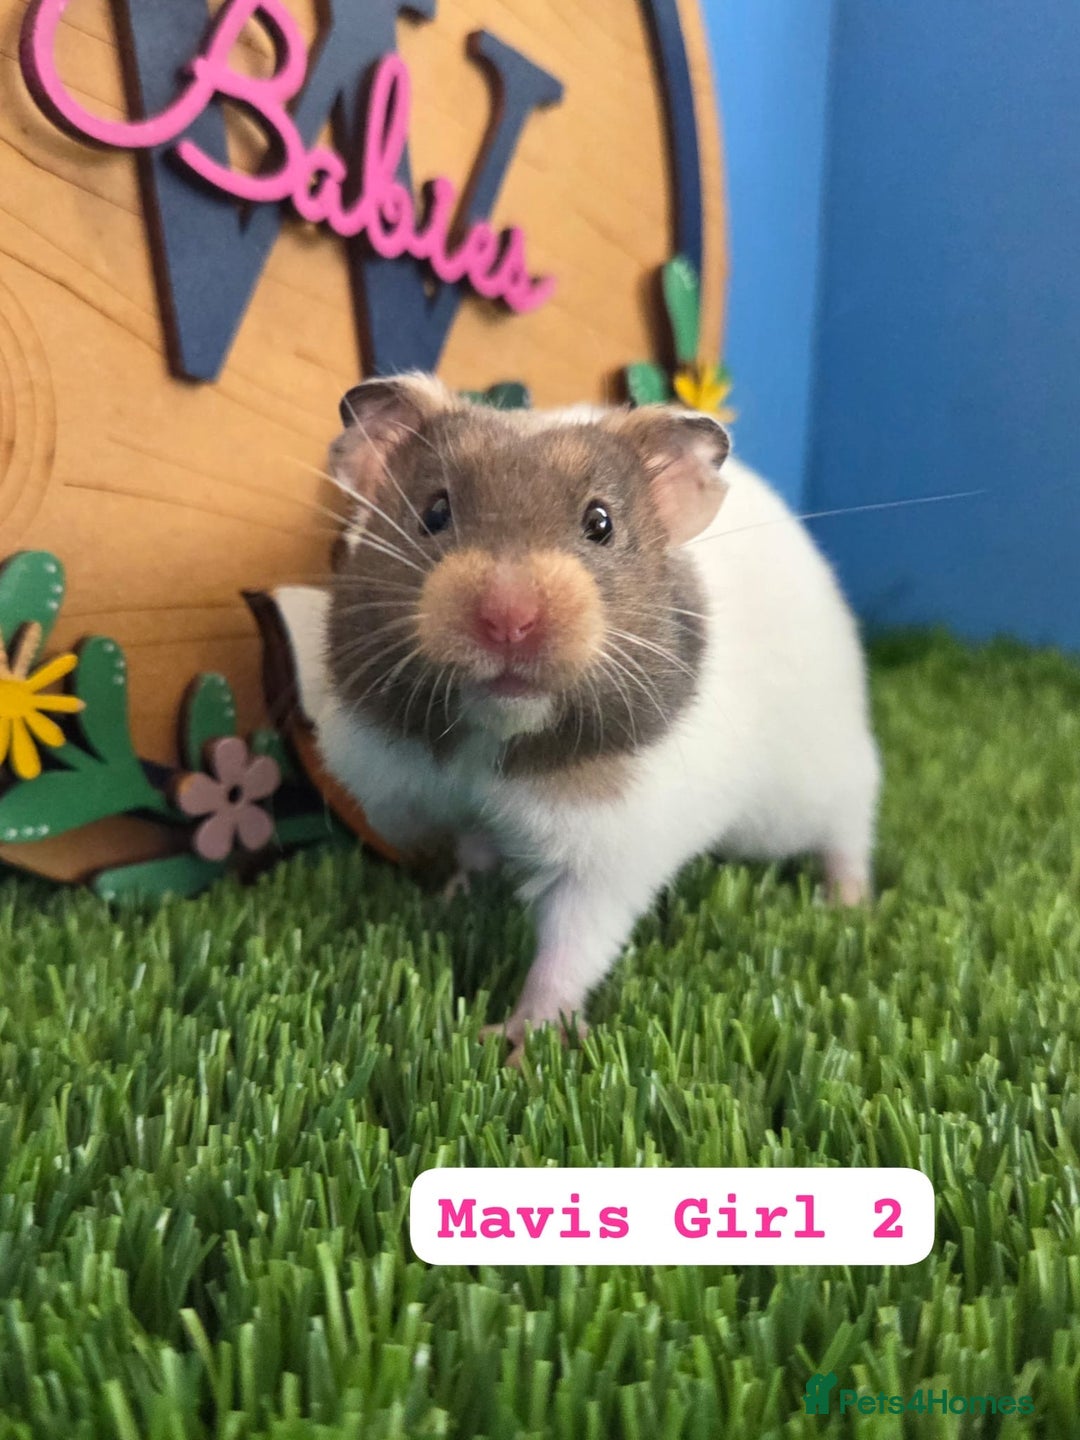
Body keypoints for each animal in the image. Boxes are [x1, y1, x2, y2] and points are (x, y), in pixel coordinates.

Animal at [306, 371, 880, 1063]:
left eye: (600, 524)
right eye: (434, 513)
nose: (509, 620)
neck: (495, 739)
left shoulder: (611, 851)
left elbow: (569, 949)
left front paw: (517, 1044)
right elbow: (471, 846)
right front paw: (452, 899)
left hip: (812, 787)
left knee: (851, 825)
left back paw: (846, 906)